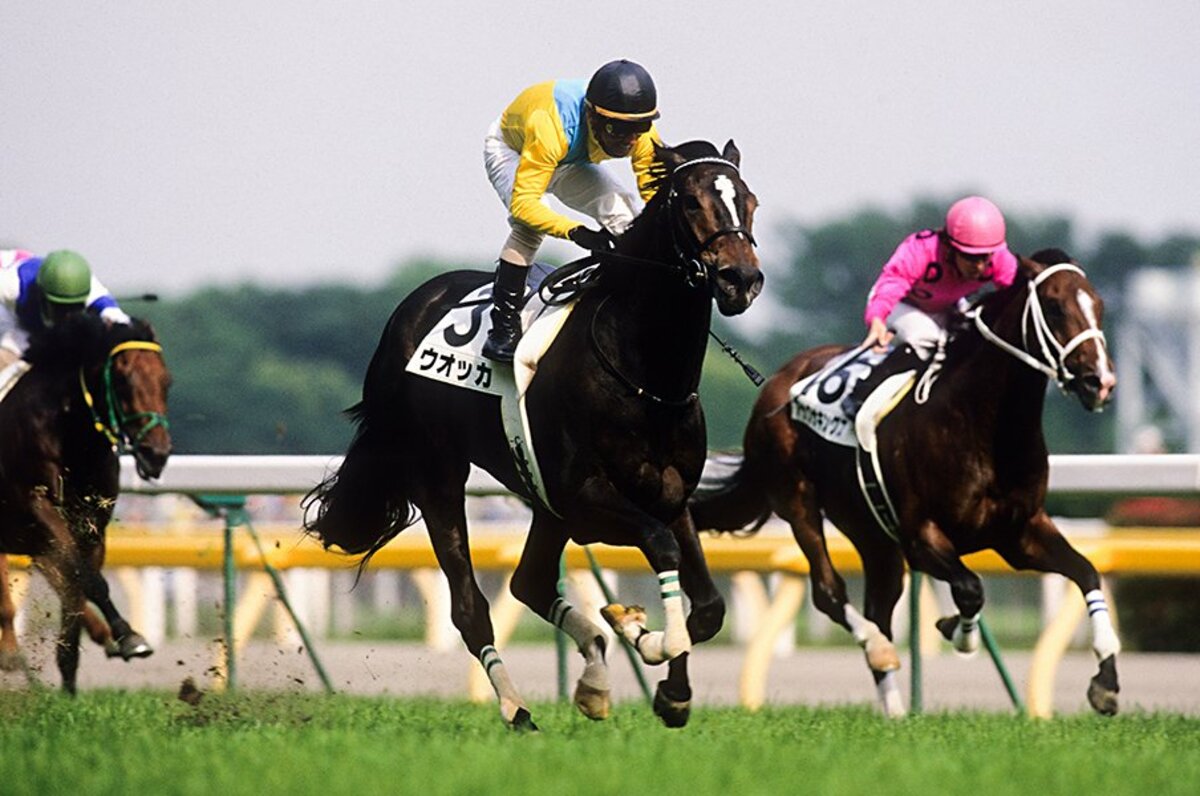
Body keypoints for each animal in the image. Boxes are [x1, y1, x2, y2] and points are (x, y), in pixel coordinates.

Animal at [0, 312, 172, 693]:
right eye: (122, 379)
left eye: (167, 381)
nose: (156, 453)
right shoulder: (37, 507)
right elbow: (88, 580)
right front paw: (126, 634)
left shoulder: (91, 526)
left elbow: (77, 588)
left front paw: (70, 688)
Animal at [304, 139, 763, 729]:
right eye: (689, 201)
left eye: (748, 200)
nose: (740, 279)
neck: (646, 376)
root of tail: (413, 306)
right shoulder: (584, 497)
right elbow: (661, 549)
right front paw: (647, 637)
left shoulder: (670, 493)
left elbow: (707, 607)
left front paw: (669, 686)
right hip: (439, 476)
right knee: (470, 607)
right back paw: (518, 708)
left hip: (541, 501)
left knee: (529, 581)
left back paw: (594, 677)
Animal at [690, 249, 1122, 717]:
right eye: (1056, 306)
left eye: (1099, 305)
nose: (1099, 381)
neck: (983, 424)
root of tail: (774, 385)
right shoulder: (921, 537)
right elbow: (971, 588)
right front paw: (958, 631)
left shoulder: (1020, 534)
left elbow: (1087, 573)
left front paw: (1106, 681)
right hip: (797, 499)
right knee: (830, 592)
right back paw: (878, 650)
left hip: (873, 535)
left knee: (878, 605)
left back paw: (895, 711)